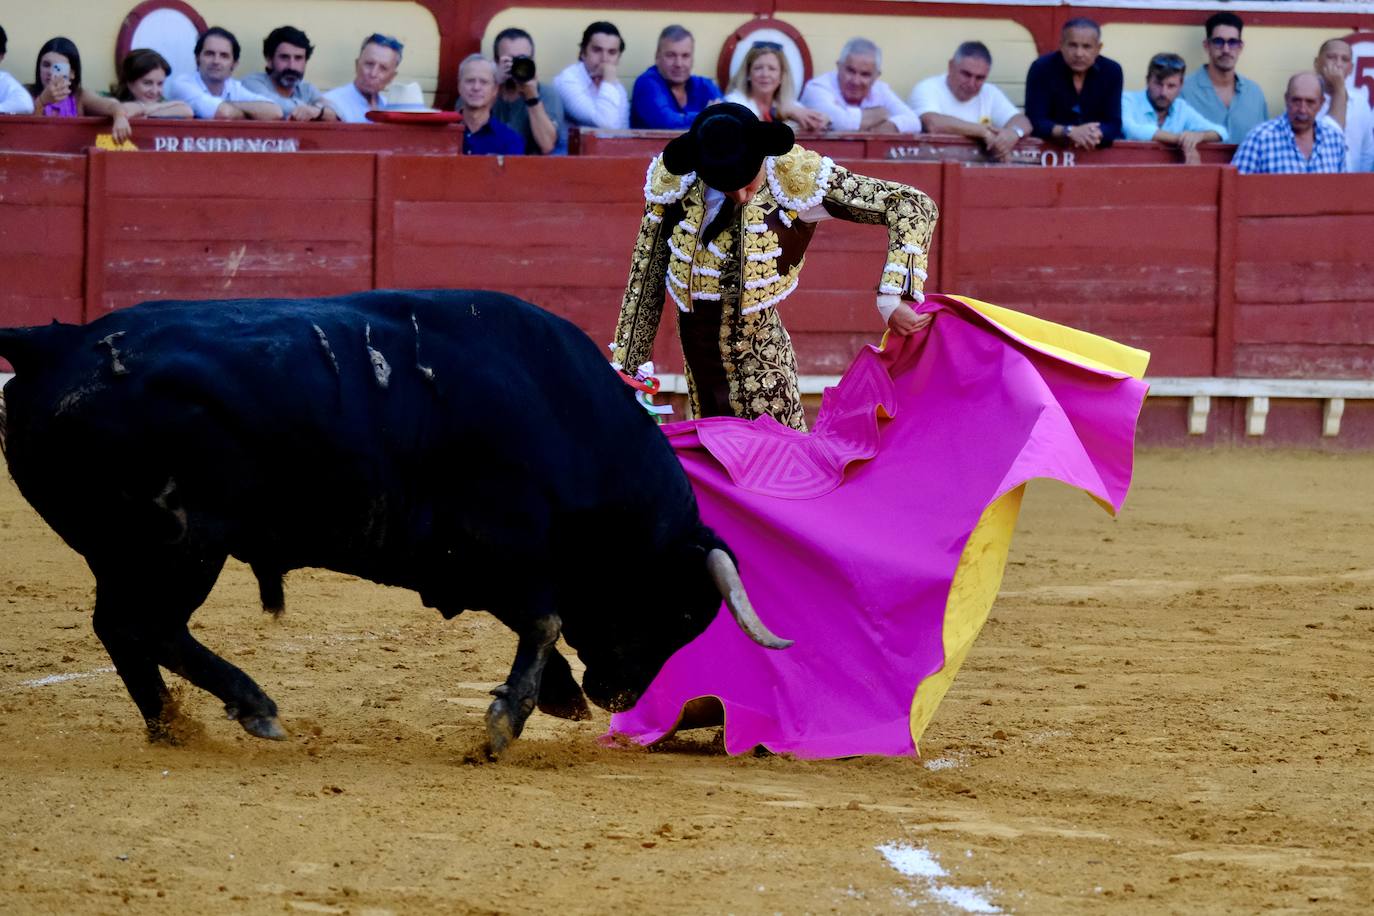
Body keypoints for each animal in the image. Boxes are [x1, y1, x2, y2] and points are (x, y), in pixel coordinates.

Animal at [0, 289, 791, 758]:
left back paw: (171, 724)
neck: (568, 414)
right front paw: (504, 725)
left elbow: (538, 621)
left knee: (120, 627)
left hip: (127, 549)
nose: (618, 696)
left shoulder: (471, 563)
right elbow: (544, 620)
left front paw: (556, 696)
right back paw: (249, 707)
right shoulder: (507, 545)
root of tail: (53, 342)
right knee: (148, 625)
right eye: (682, 610)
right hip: (180, 543)